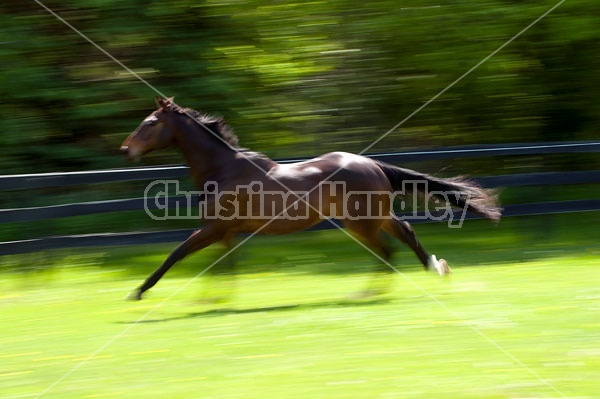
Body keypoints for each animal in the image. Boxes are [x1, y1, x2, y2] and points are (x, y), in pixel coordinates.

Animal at [119, 98, 500, 302]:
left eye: (149, 123)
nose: (125, 149)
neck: (223, 168)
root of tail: (373, 164)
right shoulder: (225, 232)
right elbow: (225, 265)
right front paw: (215, 299)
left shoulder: (212, 228)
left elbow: (175, 255)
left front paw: (138, 291)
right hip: (373, 217)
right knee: (405, 234)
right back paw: (434, 269)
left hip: (360, 224)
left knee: (387, 249)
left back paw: (370, 293)